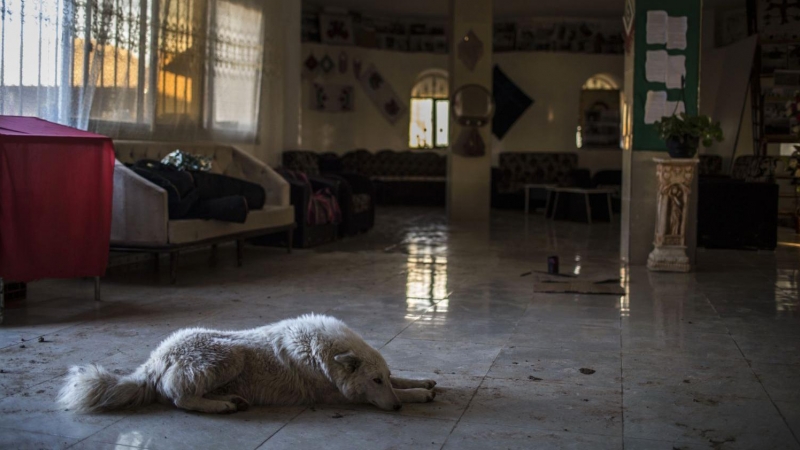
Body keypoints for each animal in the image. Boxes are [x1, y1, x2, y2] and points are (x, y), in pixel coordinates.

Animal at [59, 314, 438, 414]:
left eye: (383, 378)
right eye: (374, 382)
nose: (396, 408)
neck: (320, 351)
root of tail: (154, 360)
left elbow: (405, 378)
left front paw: (422, 382)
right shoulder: (337, 395)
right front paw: (417, 396)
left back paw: (231, 400)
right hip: (230, 355)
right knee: (179, 397)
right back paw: (223, 406)